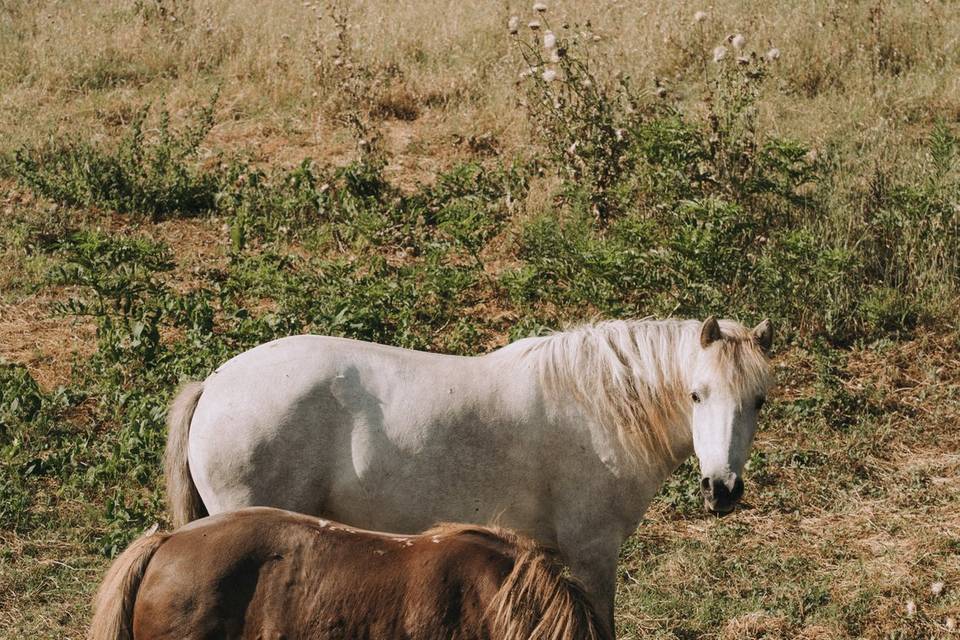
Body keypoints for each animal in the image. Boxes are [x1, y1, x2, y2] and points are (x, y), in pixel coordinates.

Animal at [165, 316, 776, 632]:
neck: (596, 407)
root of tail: (213, 385)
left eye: (759, 401)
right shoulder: (592, 555)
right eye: (696, 394)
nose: (722, 490)